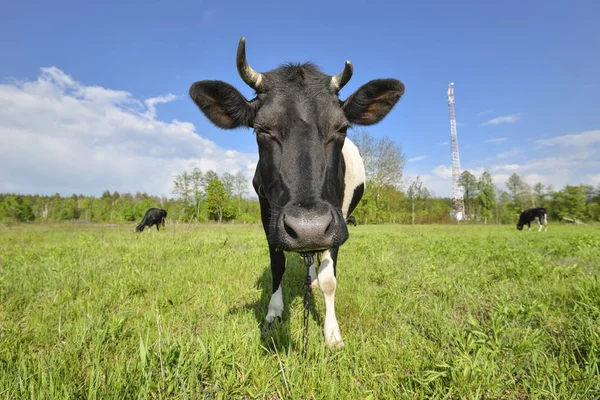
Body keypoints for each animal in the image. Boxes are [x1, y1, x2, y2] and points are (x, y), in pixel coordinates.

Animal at [188, 39, 404, 348]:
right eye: (262, 129)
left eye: (342, 127)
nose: (308, 228)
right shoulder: (267, 212)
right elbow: (277, 264)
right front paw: (273, 313)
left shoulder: (336, 219)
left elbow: (330, 279)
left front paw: (332, 334)